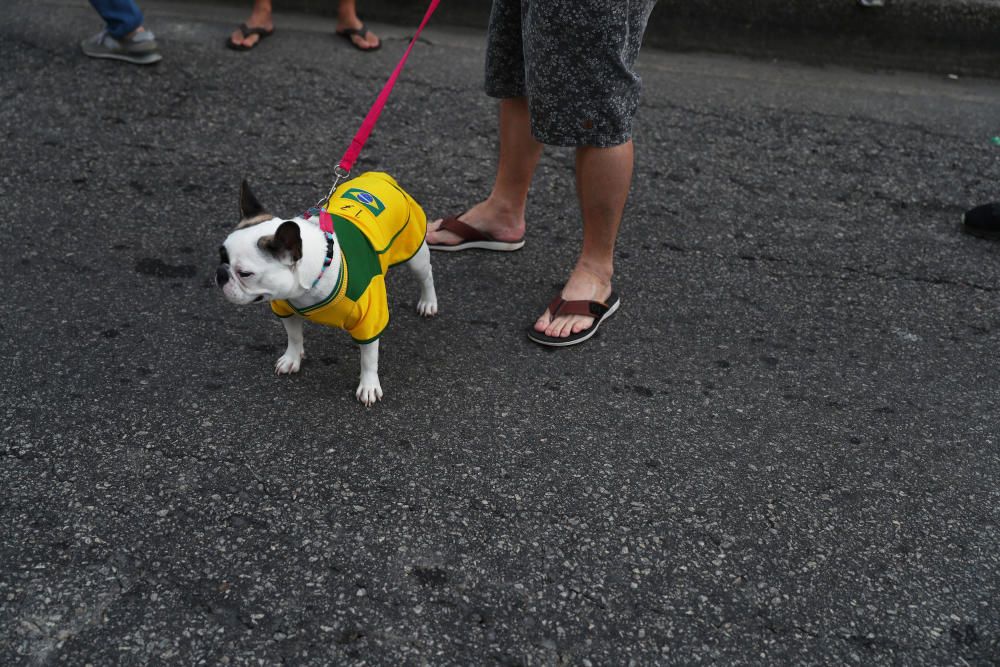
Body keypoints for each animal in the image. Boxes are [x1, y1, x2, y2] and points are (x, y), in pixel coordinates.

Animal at [217, 170, 436, 404]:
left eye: (245, 274)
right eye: (221, 256)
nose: (220, 274)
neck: (316, 273)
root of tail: (379, 176)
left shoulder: (369, 319)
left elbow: (368, 357)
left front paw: (368, 385)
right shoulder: (286, 308)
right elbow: (294, 336)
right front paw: (292, 358)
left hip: (413, 249)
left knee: (426, 275)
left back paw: (428, 302)